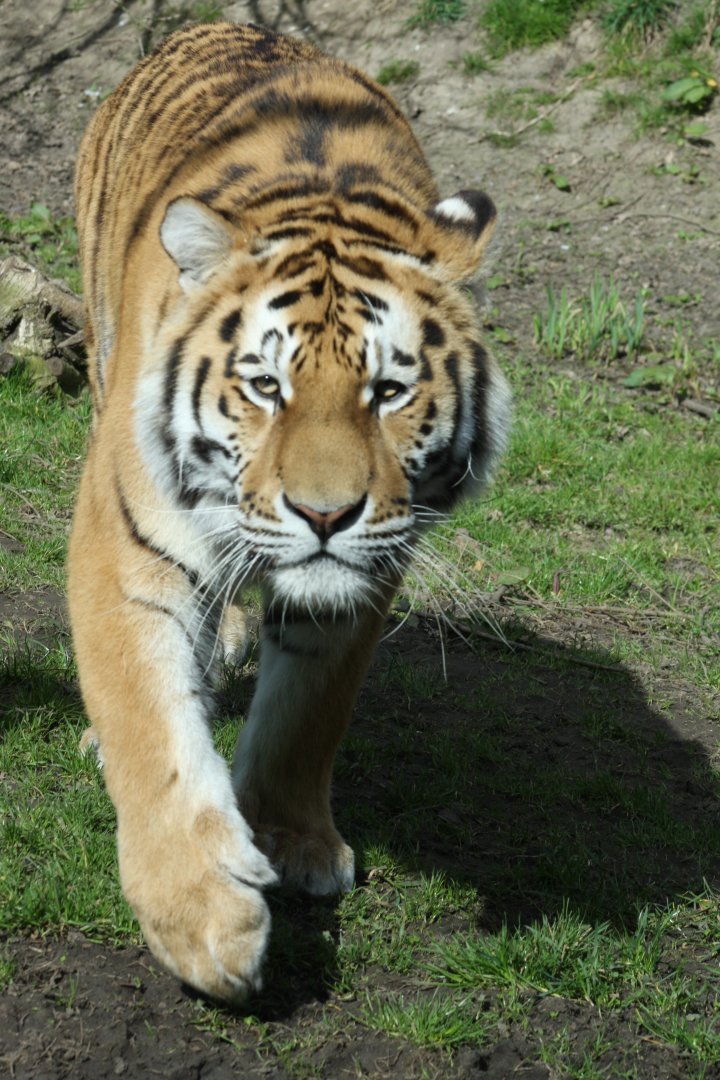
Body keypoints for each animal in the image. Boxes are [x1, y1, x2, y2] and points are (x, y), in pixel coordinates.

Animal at [67, 21, 511, 1002]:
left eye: (389, 391)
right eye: (265, 386)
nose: (324, 515)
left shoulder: (371, 568)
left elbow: (308, 715)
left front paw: (293, 840)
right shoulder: (127, 544)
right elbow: (151, 727)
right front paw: (203, 919)